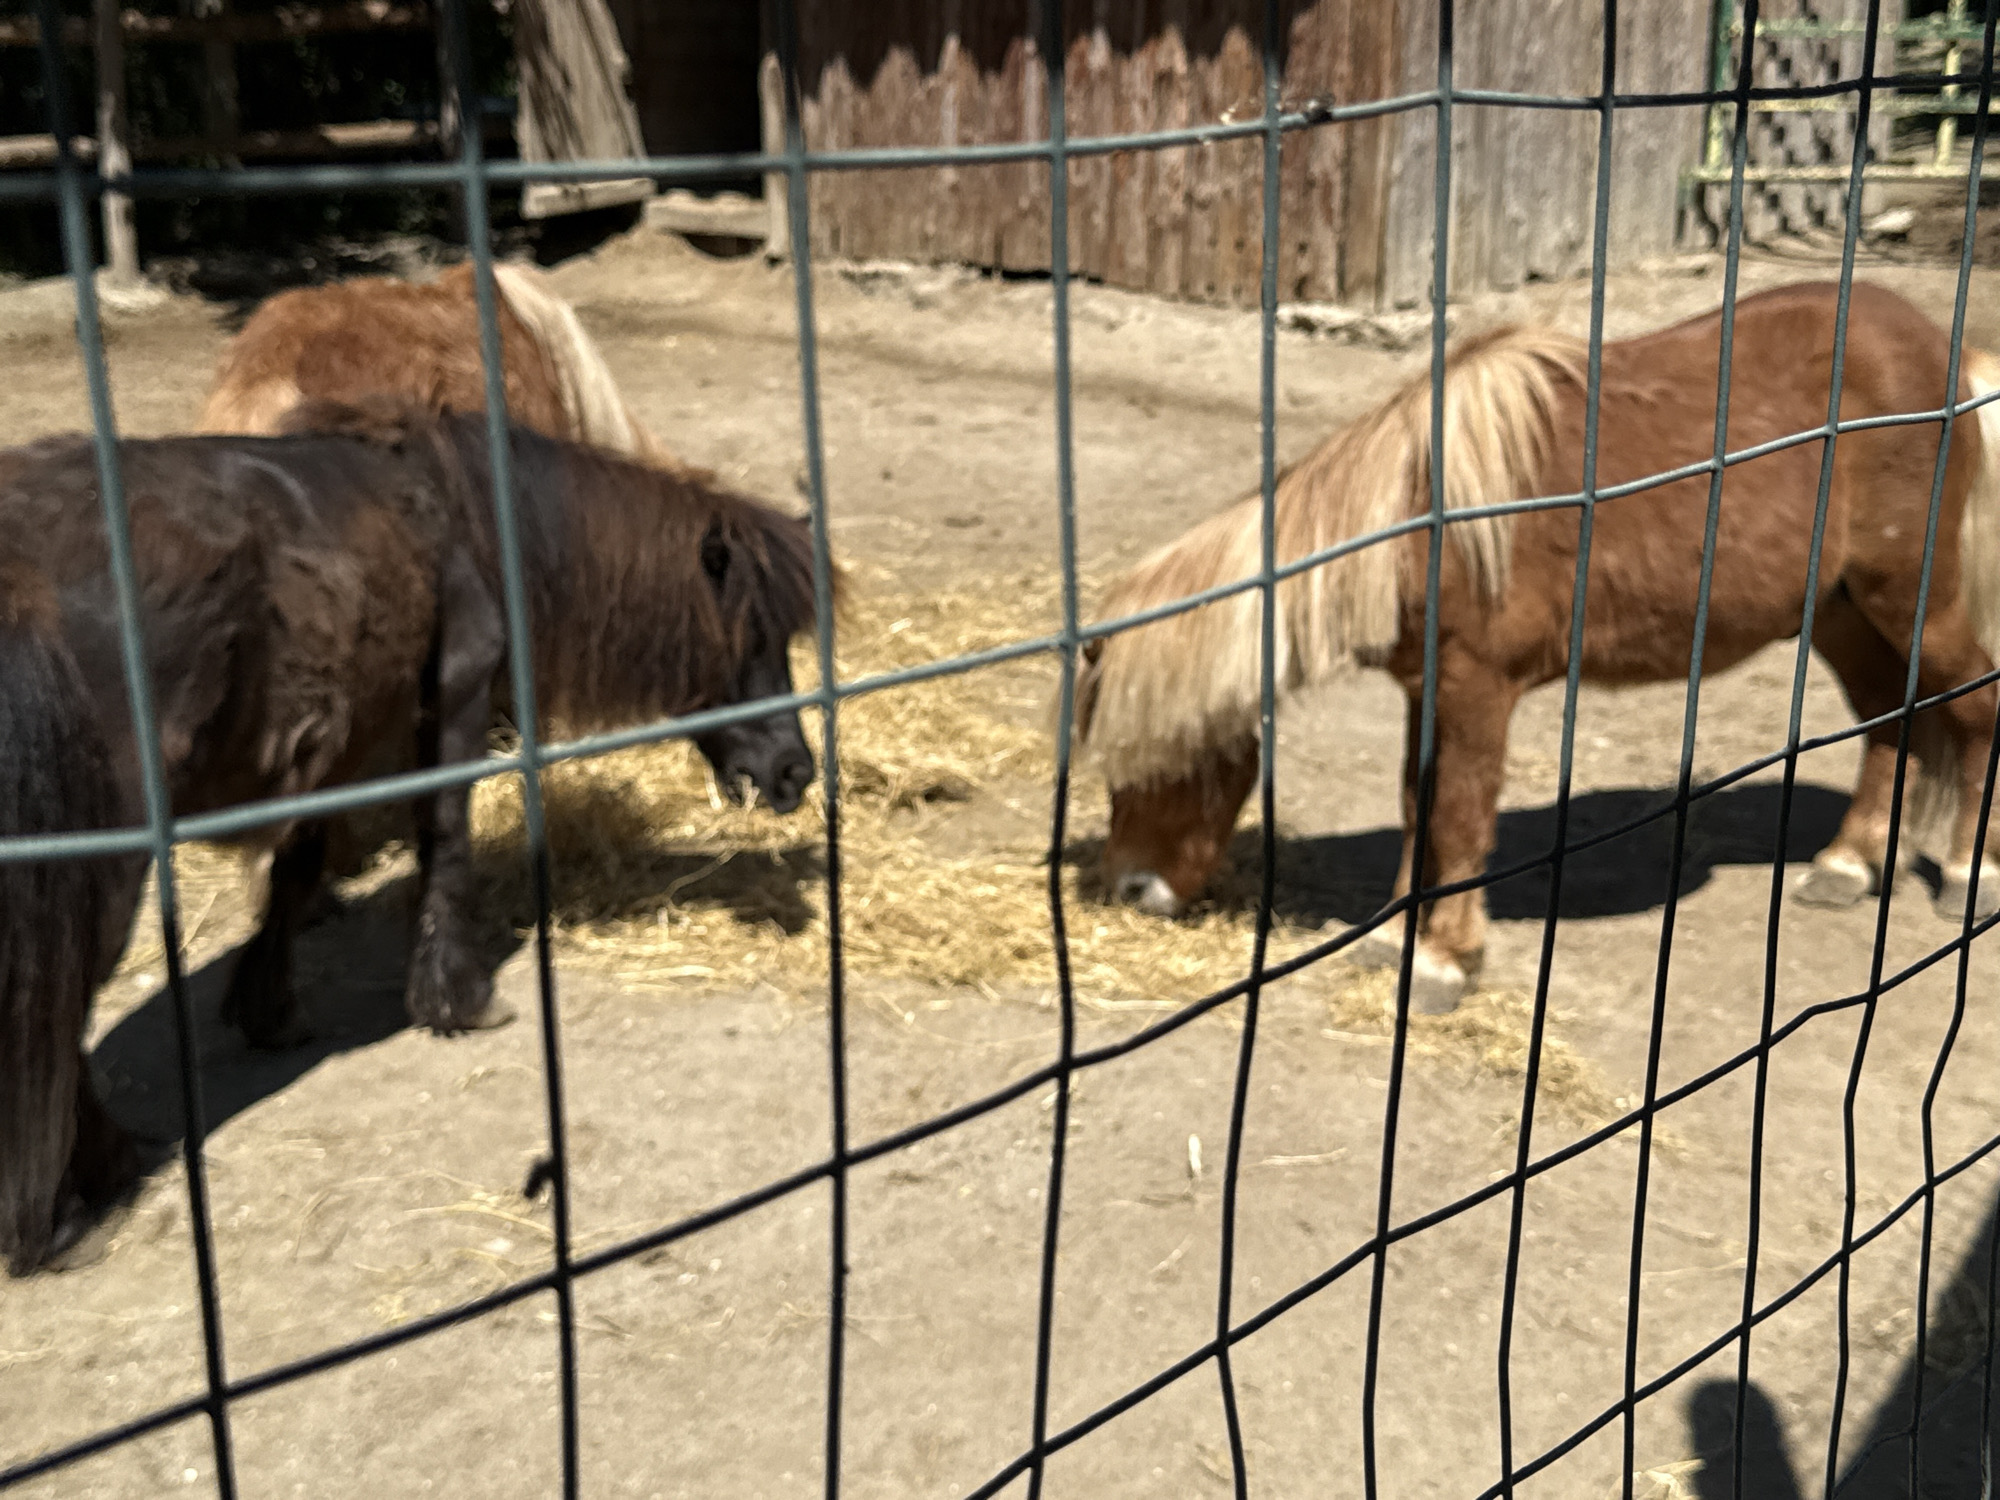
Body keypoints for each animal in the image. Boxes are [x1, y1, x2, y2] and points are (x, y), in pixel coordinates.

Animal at [0, 397, 825, 1274]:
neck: (466, 519)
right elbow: (444, 840)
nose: (794, 773)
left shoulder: (345, 745)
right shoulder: (449, 708)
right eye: (752, 635)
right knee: (57, 1005)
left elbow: (299, 871)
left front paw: (270, 1009)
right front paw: (456, 996)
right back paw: (82, 1194)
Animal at [1074, 281, 2000, 1016]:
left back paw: (1967, 876)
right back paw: (1851, 864)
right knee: (1889, 720)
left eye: (1158, 763)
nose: (1133, 891)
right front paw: (1397, 938)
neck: (1428, 521)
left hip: (1910, 599)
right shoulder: (1428, 692)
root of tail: (1945, 354)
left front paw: (1443, 961)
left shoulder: (1478, 686)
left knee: (1975, 704)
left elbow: (1459, 814)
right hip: (1839, 613)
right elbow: (1419, 805)